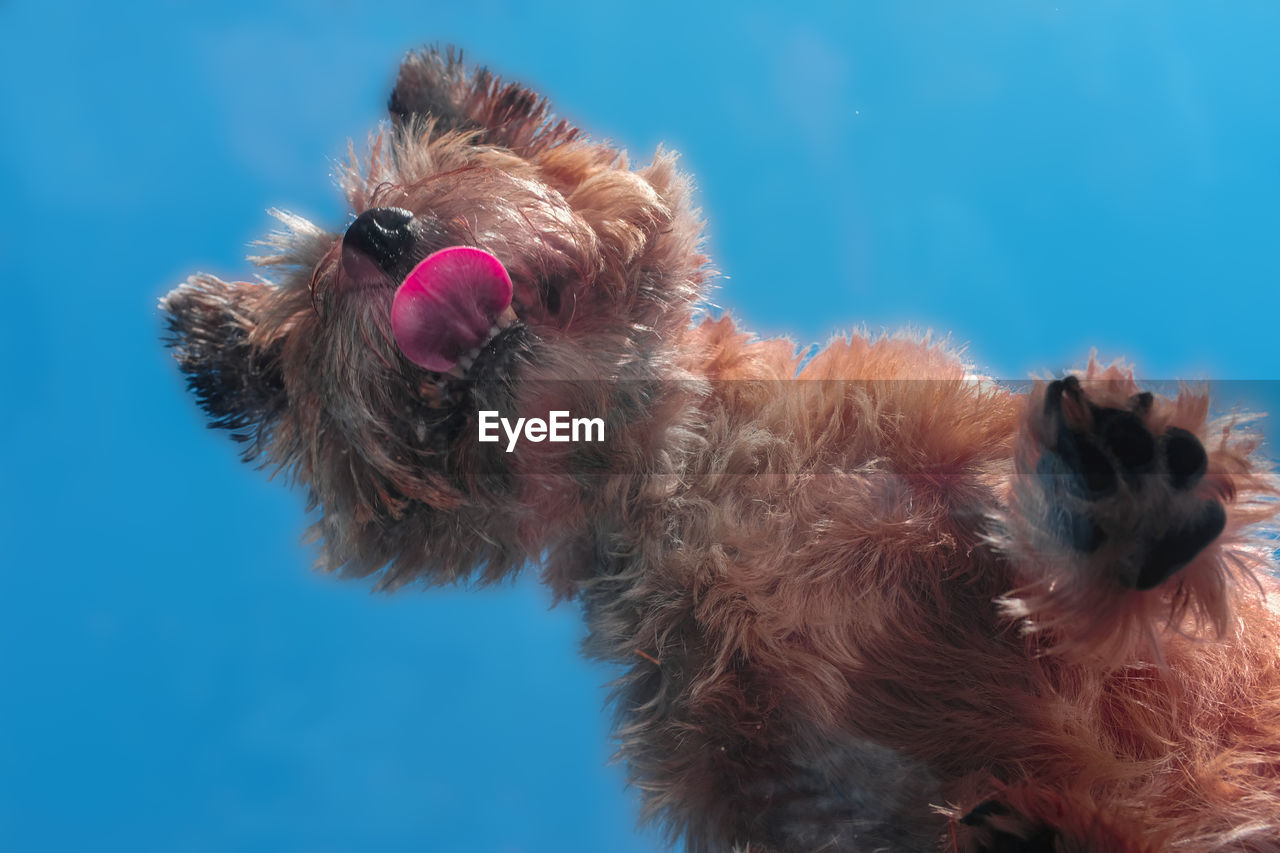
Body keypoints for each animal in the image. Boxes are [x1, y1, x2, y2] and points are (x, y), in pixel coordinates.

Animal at [165, 48, 1280, 850]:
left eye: (443, 169)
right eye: (311, 300)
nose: (376, 233)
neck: (681, 478)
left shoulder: (935, 460)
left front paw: (1107, 497)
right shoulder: (773, 767)